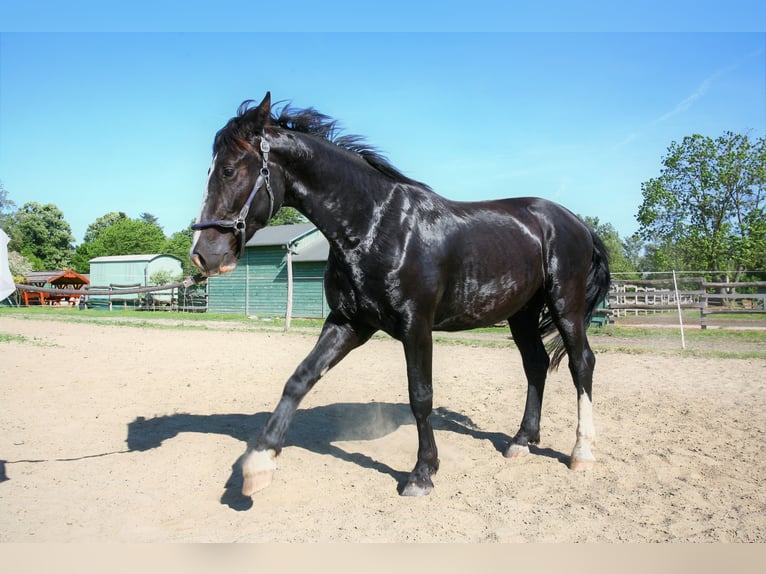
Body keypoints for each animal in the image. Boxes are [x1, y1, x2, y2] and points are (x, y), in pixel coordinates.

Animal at [192, 92, 612, 498]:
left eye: (229, 170)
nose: (204, 254)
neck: (376, 226)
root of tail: (576, 223)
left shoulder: (416, 326)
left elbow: (420, 396)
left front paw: (422, 473)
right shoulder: (348, 323)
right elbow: (300, 378)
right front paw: (258, 464)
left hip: (565, 305)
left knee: (581, 363)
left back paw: (581, 453)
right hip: (522, 312)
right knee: (536, 364)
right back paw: (522, 441)